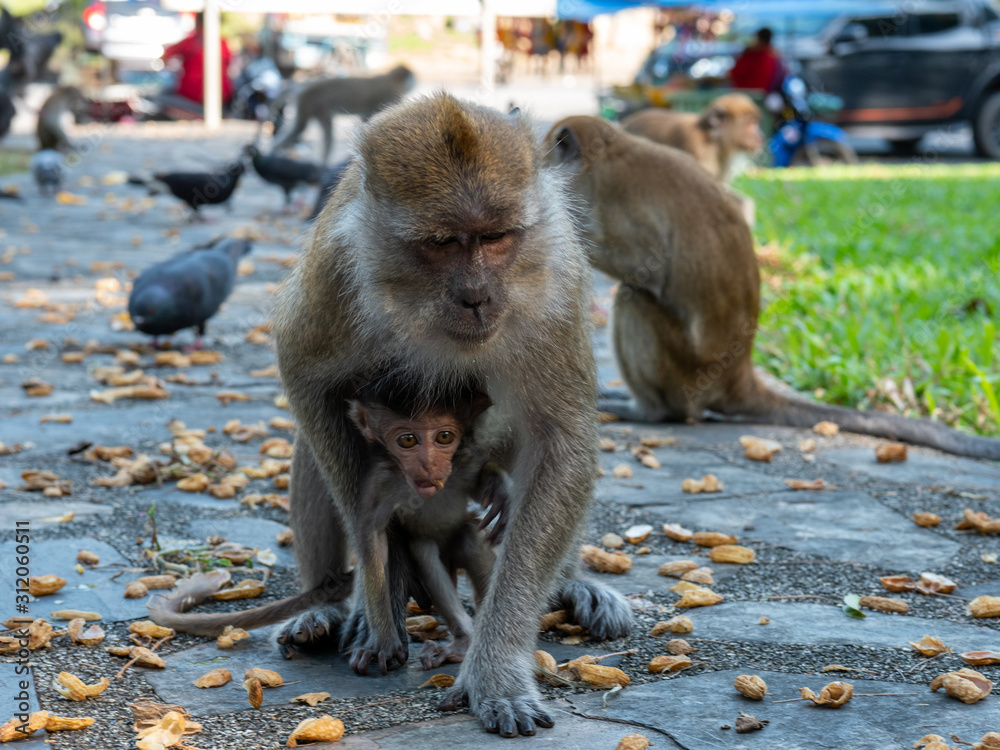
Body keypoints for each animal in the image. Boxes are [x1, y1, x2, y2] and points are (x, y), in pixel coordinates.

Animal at [269, 65, 416, 164]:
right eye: (412, 76)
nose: (415, 80)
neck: (392, 80)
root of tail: (303, 87)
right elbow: (366, 117)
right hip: (309, 103)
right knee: (302, 127)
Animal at [270, 93, 631, 737]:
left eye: (496, 237)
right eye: (443, 242)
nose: (477, 297)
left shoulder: (556, 276)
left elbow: (562, 440)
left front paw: (496, 669)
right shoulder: (336, 267)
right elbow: (305, 374)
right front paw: (376, 601)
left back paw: (568, 584)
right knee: (314, 444)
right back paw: (327, 608)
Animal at [543, 116, 1000, 461]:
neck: (610, 152)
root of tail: (738, 374)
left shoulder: (611, 200)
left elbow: (644, 270)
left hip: (684, 372)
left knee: (634, 298)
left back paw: (653, 412)